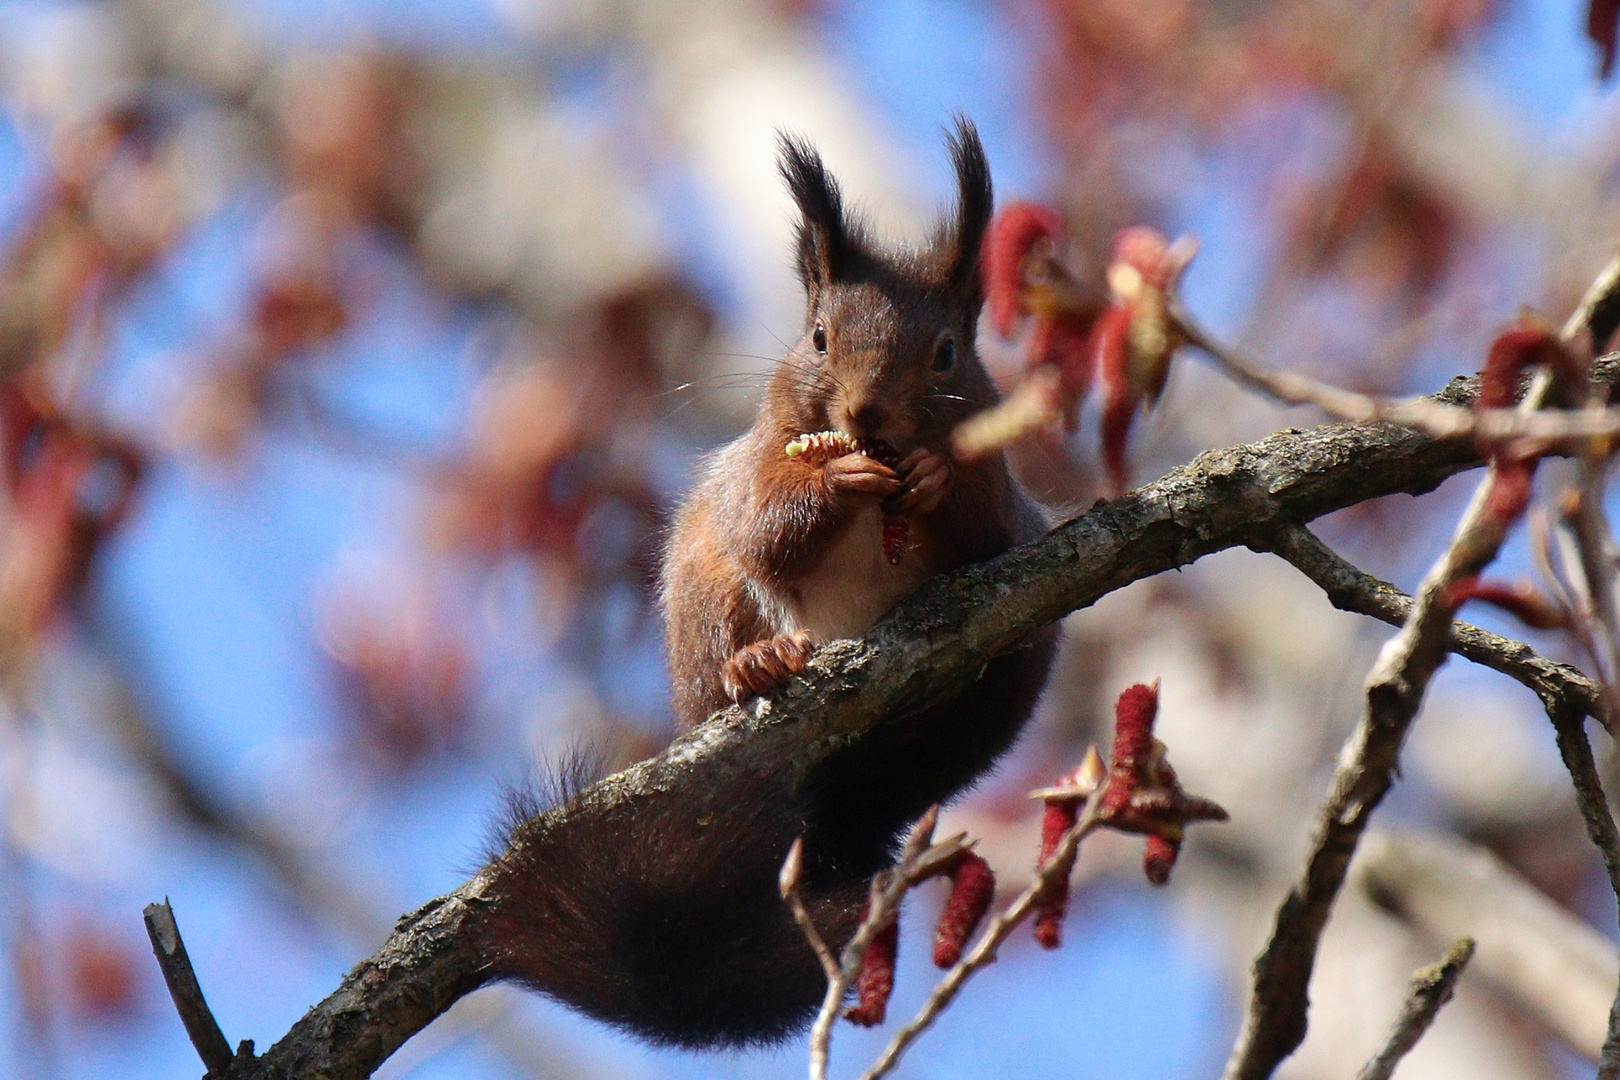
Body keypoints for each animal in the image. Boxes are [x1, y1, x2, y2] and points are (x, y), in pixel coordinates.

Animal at [476, 118, 1062, 1049]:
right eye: (818, 337)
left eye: (947, 354)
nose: (866, 415)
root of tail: (845, 812)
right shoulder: (754, 467)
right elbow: (767, 528)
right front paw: (836, 481)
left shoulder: (1006, 503)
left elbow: (982, 534)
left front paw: (933, 478)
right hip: (703, 593)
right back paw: (756, 668)